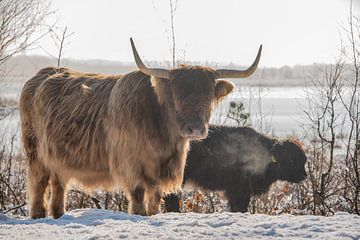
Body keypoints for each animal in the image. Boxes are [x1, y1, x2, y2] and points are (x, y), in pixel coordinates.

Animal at [19, 38, 262, 218]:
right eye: (178, 94)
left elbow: (154, 199)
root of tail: (42, 75)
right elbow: (137, 196)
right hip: (35, 153)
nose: (195, 128)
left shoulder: (159, 171)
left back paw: (59, 215)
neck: (164, 136)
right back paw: (38, 215)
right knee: (39, 184)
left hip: (57, 158)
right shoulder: (131, 164)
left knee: (58, 185)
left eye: (208, 94)